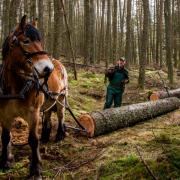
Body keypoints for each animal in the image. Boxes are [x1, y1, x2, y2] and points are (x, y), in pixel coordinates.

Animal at [0, 16, 53, 179]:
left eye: (40, 41)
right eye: (26, 41)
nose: (49, 68)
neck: (16, 88)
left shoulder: (33, 113)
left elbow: (33, 140)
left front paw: (36, 168)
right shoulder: (4, 115)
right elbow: (5, 137)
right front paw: (5, 161)